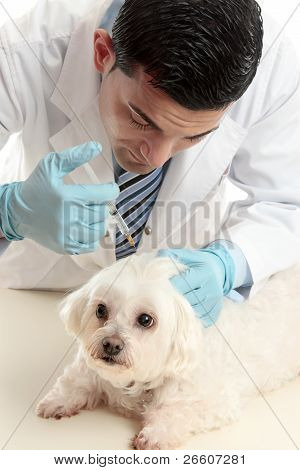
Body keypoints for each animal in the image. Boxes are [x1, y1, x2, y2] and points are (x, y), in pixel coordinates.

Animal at [36, 252, 300, 450]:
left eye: (145, 319)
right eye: (101, 310)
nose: (111, 344)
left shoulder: (216, 401)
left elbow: (179, 411)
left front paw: (156, 433)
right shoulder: (91, 369)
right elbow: (76, 381)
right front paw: (58, 401)